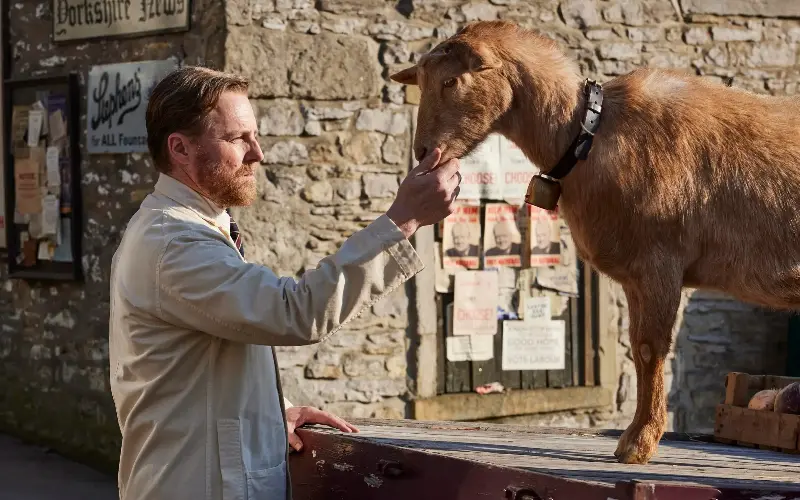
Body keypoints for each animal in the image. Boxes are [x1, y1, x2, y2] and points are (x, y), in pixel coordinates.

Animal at [390, 20, 800, 465]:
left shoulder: (659, 262)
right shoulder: (637, 276)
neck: (588, 135)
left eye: (451, 80)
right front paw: (637, 436)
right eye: (422, 81)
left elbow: (650, 349)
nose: (424, 152)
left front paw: (638, 443)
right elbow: (638, 351)